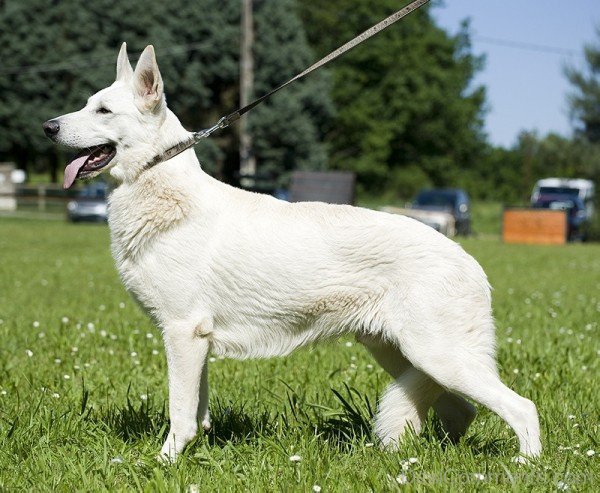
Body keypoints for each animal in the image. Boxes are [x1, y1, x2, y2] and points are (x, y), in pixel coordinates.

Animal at [44, 43, 540, 462]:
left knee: (521, 407)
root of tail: (470, 261)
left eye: (103, 110)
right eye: (88, 104)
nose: (48, 127)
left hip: (437, 355)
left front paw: (164, 464)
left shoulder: (183, 335)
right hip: (403, 354)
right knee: (460, 410)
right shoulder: (196, 343)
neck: (160, 188)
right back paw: (420, 461)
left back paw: (524, 464)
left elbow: (180, 414)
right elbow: (198, 414)